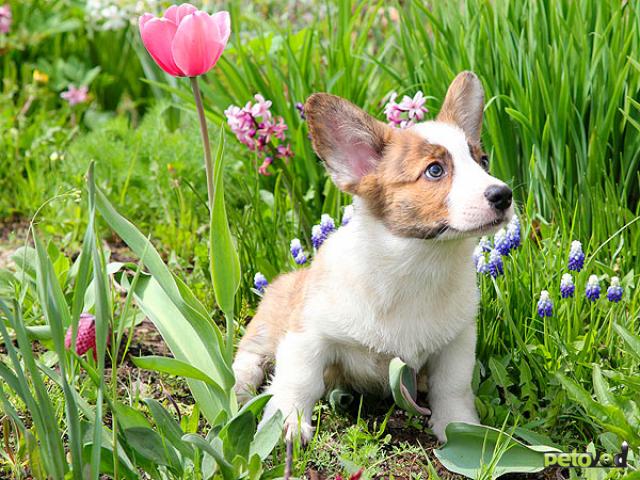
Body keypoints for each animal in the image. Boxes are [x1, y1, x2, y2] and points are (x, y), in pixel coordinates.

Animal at [232, 71, 512, 442]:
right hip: (268, 321)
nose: (504, 195)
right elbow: (298, 380)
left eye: (483, 161)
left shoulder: (457, 342)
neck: (420, 264)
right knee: (249, 357)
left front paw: (460, 428)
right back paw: (239, 388)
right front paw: (287, 423)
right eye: (435, 170)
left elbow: (452, 387)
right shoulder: (308, 336)